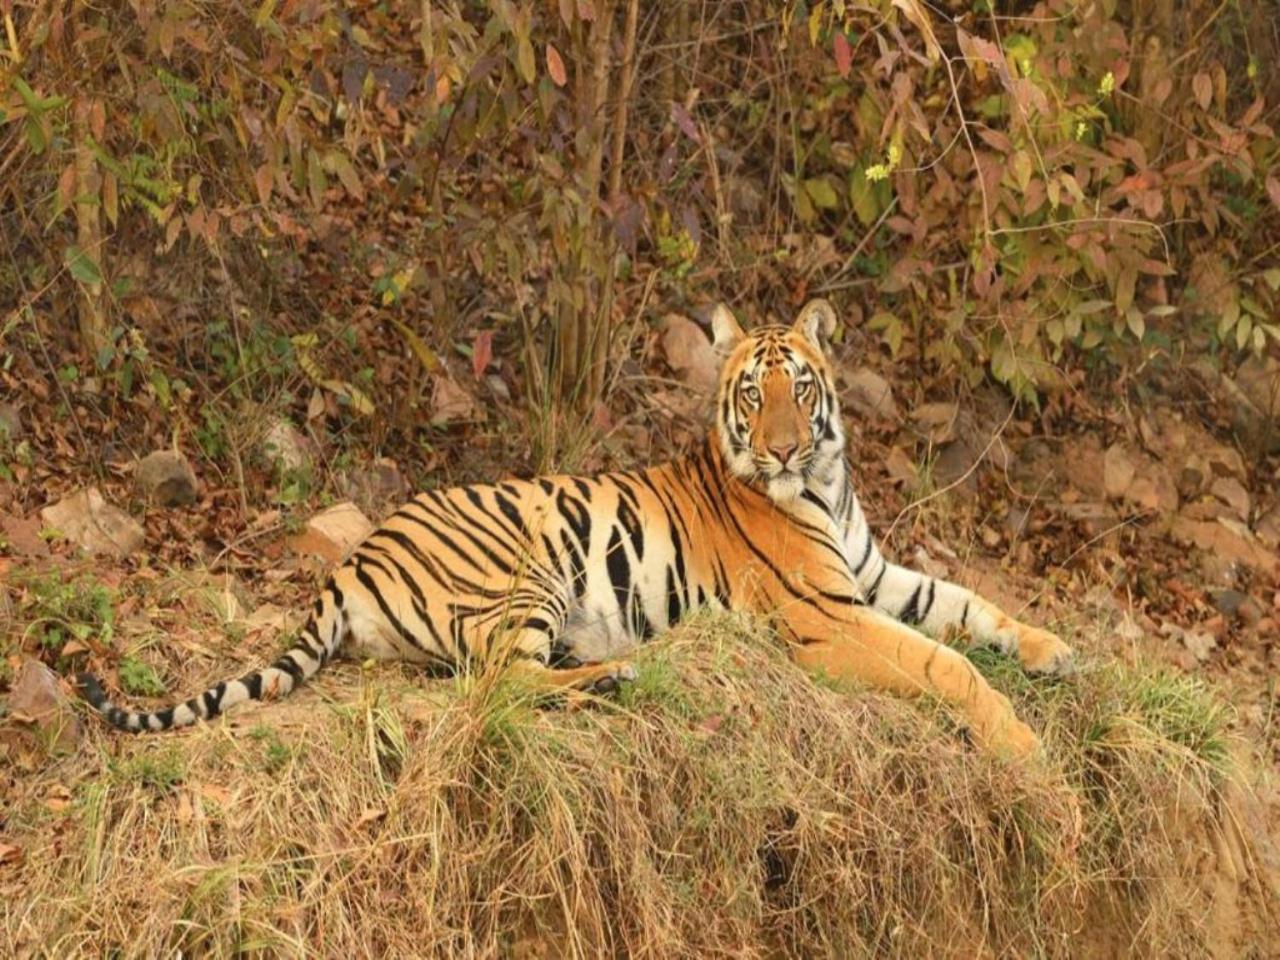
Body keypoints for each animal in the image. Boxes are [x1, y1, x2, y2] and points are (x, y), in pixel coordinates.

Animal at [80, 300, 1075, 757]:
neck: (825, 486)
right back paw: (618, 679)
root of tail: (352, 559)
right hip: (523, 574)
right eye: (754, 396)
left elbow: (970, 605)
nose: (786, 449)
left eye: (802, 387)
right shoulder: (826, 618)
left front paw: (1055, 650)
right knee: (502, 686)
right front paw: (1021, 743)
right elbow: (943, 663)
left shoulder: (871, 577)